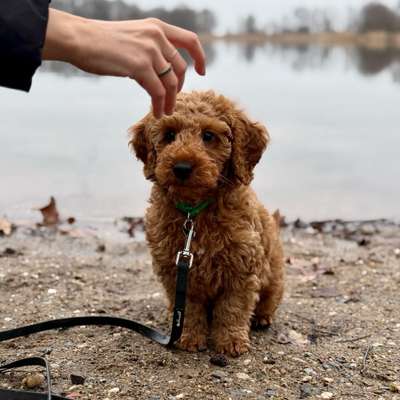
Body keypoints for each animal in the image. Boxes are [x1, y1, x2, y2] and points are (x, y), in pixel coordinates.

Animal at [130, 91, 282, 356]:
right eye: (169, 135)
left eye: (209, 136)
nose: (181, 167)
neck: (194, 213)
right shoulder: (176, 271)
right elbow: (189, 309)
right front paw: (189, 337)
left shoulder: (242, 268)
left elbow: (233, 308)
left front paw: (231, 342)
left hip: (273, 274)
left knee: (268, 299)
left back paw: (262, 318)